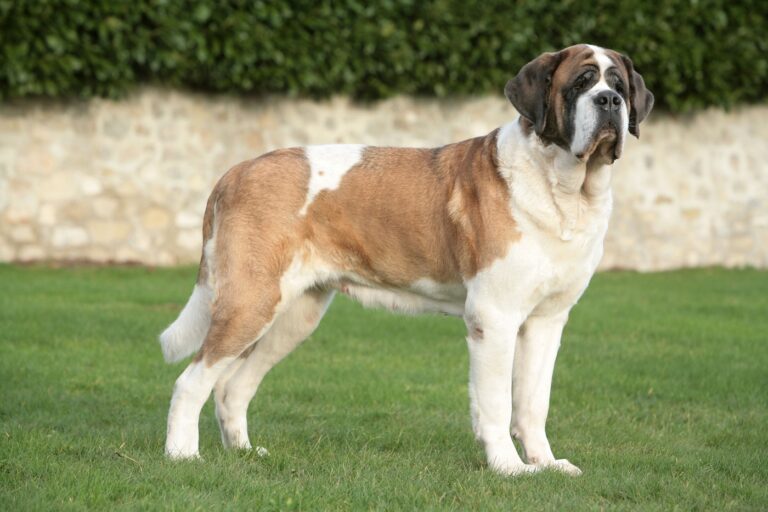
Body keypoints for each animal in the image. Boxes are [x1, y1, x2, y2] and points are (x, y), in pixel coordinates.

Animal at [159, 44, 652, 476]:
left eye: (619, 86)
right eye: (581, 83)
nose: (609, 101)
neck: (564, 188)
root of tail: (236, 170)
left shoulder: (547, 321)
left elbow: (533, 402)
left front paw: (546, 464)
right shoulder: (493, 317)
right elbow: (496, 402)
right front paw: (509, 468)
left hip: (292, 316)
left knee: (232, 386)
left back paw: (245, 453)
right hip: (251, 302)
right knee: (191, 381)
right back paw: (182, 456)